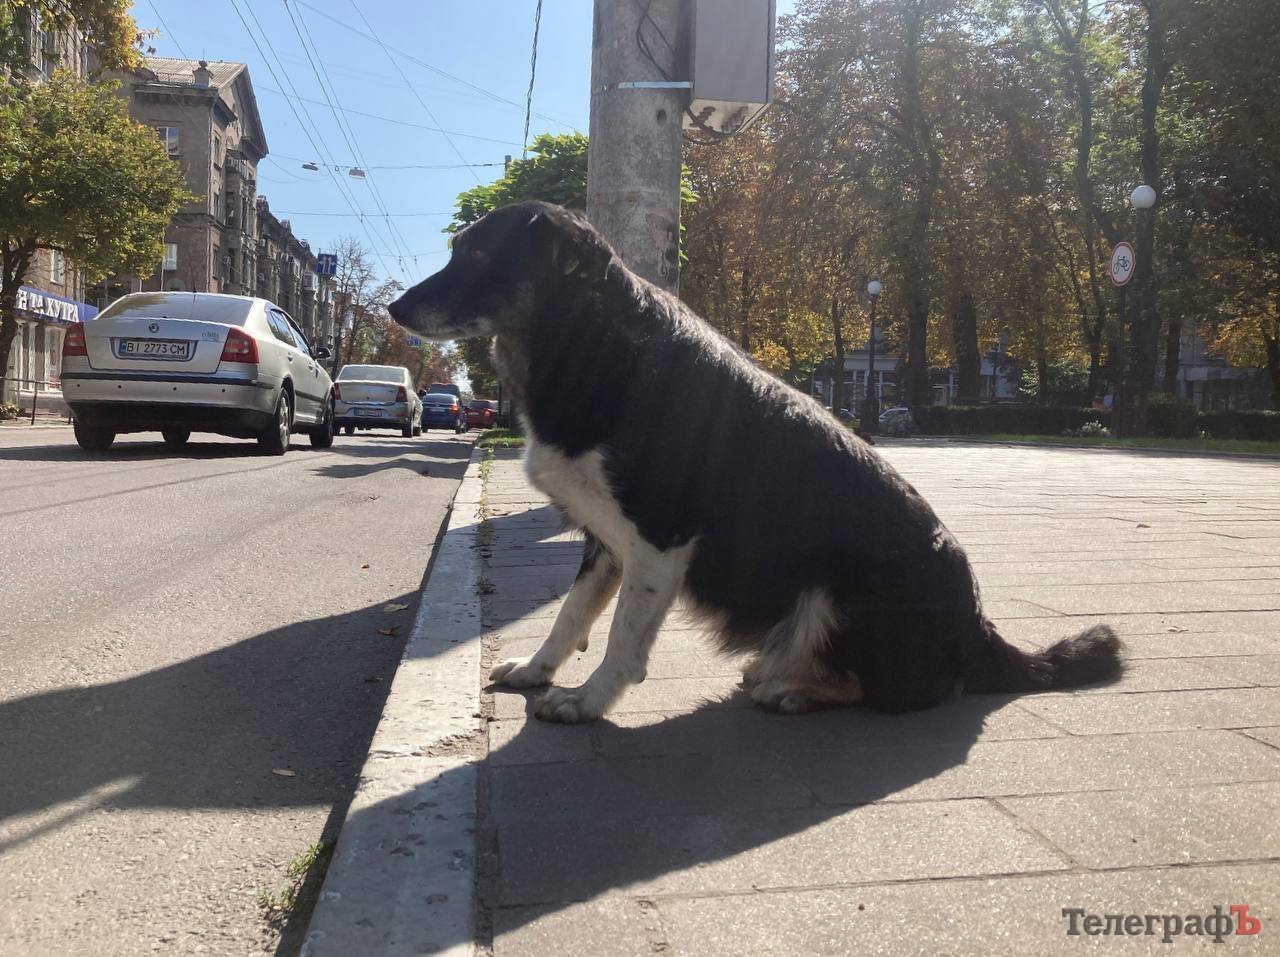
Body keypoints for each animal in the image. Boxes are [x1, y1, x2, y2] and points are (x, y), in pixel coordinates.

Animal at [388, 201, 1122, 723]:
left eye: (477, 253)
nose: (395, 308)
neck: (590, 341)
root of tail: (979, 629)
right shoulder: (607, 542)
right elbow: (572, 617)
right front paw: (540, 670)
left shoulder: (659, 541)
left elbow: (624, 637)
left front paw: (588, 701)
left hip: (834, 591)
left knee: (899, 690)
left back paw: (795, 689)